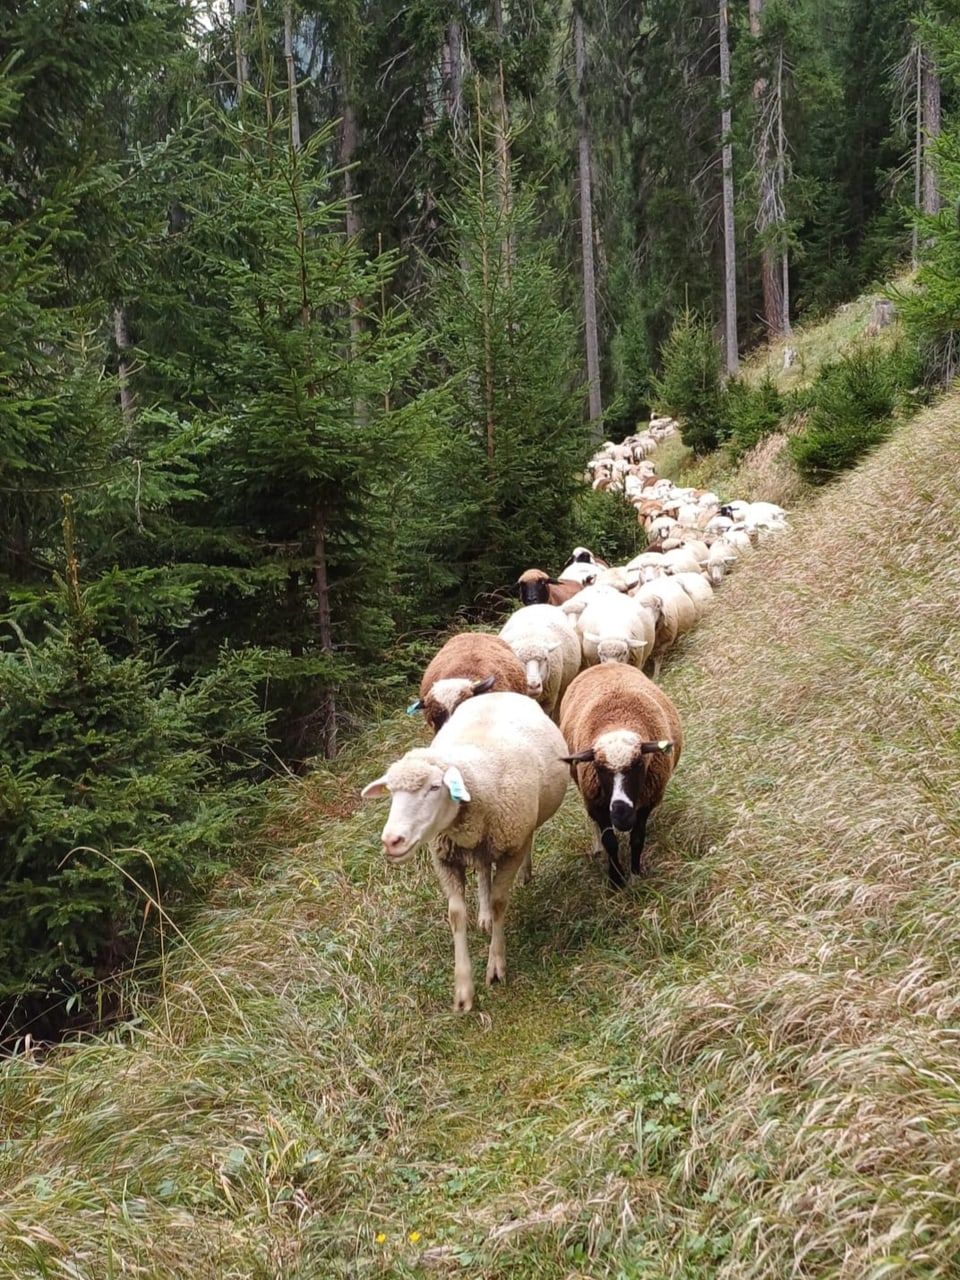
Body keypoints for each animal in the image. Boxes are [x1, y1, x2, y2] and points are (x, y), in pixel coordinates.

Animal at [360, 691, 570, 1008]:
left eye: (435, 787)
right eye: (392, 793)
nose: (391, 841)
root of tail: (498, 692)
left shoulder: (511, 847)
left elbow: (499, 902)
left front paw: (496, 965)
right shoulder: (445, 859)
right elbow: (456, 915)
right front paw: (463, 989)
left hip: (521, 829)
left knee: (524, 845)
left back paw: (525, 873)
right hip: (481, 846)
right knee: (483, 869)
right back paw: (483, 915)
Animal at [555, 665, 686, 885]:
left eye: (639, 763)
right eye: (599, 768)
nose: (621, 814)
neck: (618, 719)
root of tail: (603, 664)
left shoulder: (647, 801)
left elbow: (637, 838)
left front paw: (635, 874)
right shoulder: (596, 803)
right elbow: (610, 841)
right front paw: (616, 880)